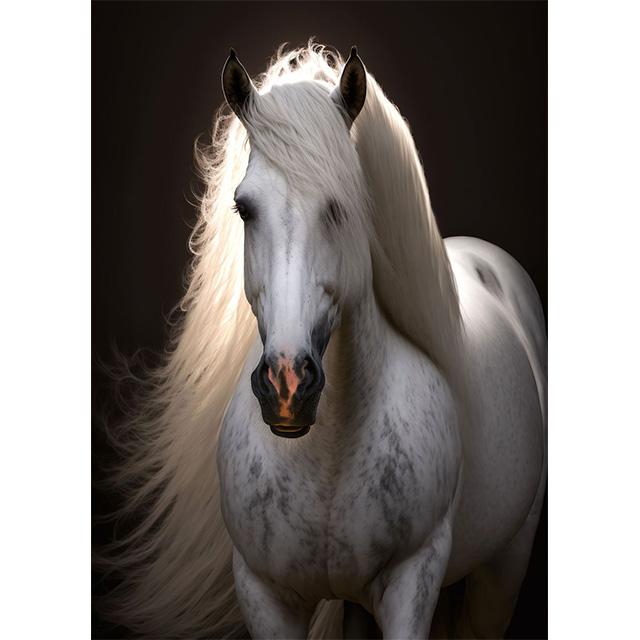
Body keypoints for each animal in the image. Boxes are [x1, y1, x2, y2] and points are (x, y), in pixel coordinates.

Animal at [100, 43, 546, 639]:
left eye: (341, 207)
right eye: (244, 207)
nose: (287, 386)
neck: (328, 453)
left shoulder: (413, 582)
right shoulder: (263, 593)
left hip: (503, 572)